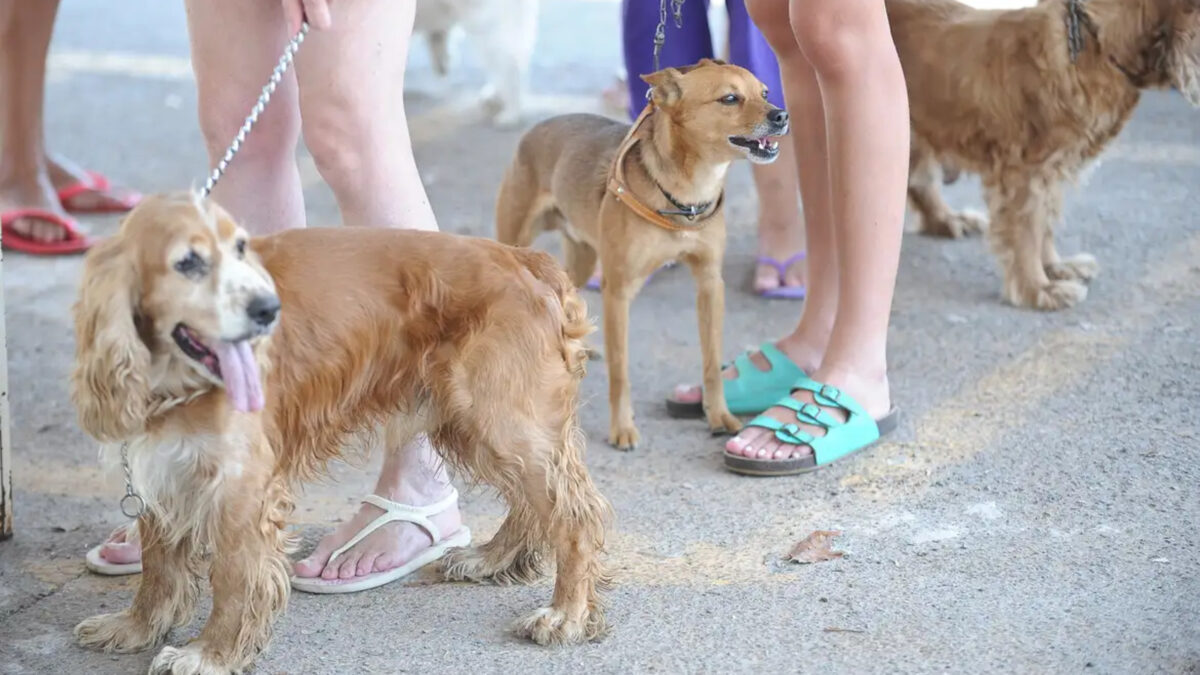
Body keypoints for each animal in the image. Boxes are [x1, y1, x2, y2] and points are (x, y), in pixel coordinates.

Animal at [68, 192, 609, 667]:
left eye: (240, 248)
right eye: (187, 262)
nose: (268, 310)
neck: (176, 378)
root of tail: (525, 259)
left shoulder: (241, 486)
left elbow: (233, 578)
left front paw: (211, 654)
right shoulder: (165, 466)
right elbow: (158, 567)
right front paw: (135, 627)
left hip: (499, 419)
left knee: (574, 515)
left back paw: (565, 614)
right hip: (475, 423)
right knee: (534, 503)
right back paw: (493, 558)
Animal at [892, 0, 1200, 309]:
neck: (1094, 44)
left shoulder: (1052, 169)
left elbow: (1045, 224)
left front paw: (1055, 268)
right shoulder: (1024, 172)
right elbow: (1027, 231)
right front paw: (1038, 288)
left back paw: (947, 219)